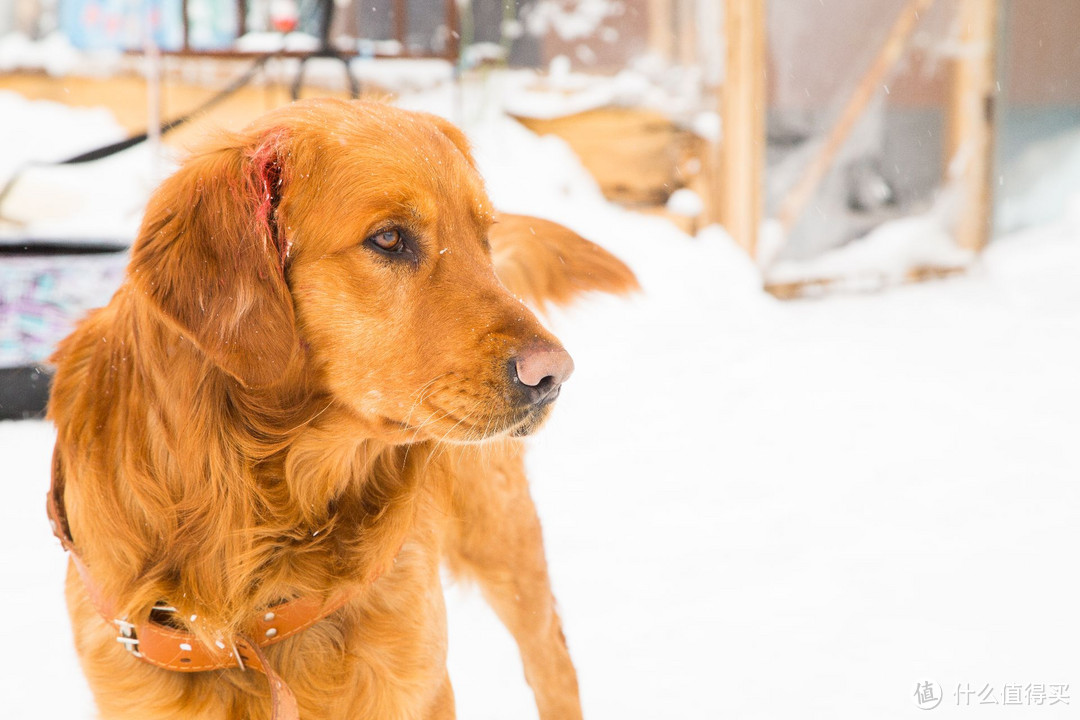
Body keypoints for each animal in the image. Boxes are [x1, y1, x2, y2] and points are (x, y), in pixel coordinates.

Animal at [50, 97, 635, 720]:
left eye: (482, 237)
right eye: (389, 238)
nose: (553, 374)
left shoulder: (422, 688)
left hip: (504, 542)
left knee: (551, 658)